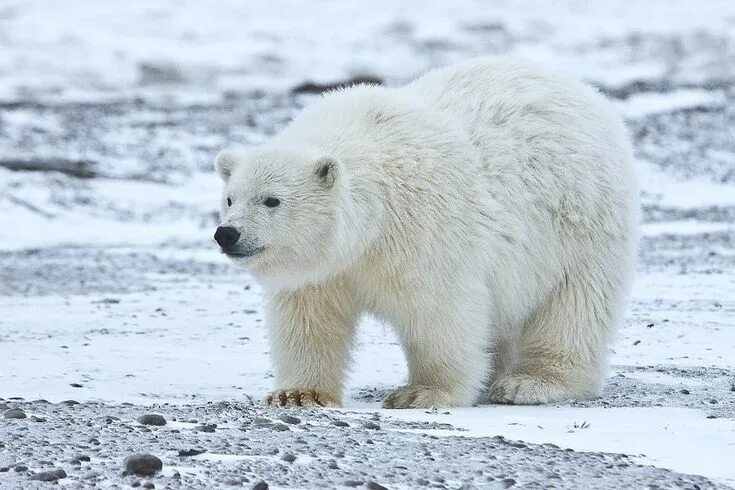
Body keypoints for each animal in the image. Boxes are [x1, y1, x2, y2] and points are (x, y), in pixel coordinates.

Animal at [213, 57, 640, 408]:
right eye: (230, 198)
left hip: (580, 223)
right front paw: (297, 394)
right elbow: (308, 320)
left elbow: (440, 310)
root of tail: (582, 90)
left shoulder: (423, 230)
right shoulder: (321, 271)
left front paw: (423, 391)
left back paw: (530, 382)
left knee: (573, 305)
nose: (227, 234)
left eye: (272, 200)